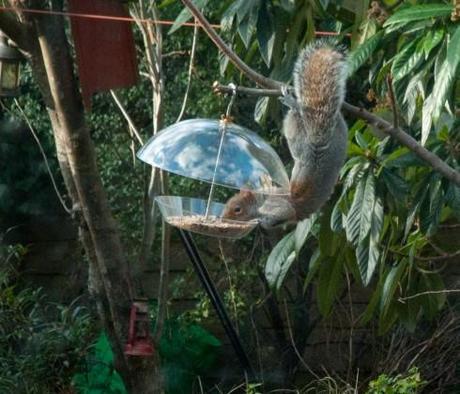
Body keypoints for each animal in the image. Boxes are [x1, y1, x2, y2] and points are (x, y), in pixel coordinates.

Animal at [224, 41, 348, 228]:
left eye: (237, 209)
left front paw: (261, 222)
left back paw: (292, 103)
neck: (259, 200)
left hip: (296, 138)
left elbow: (284, 213)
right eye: (227, 204)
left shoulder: (277, 206)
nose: (223, 218)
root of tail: (318, 143)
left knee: (296, 123)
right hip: (338, 135)